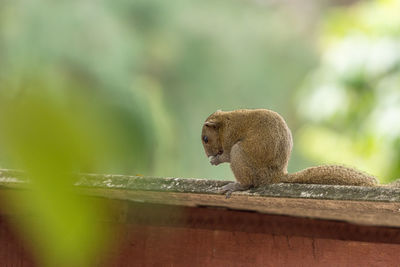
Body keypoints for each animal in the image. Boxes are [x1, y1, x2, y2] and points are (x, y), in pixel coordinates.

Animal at [202, 109, 380, 199]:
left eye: (205, 138)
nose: (208, 155)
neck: (224, 121)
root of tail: (275, 176)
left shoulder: (230, 135)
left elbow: (226, 155)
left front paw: (215, 160)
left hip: (241, 155)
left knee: (249, 180)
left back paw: (238, 185)